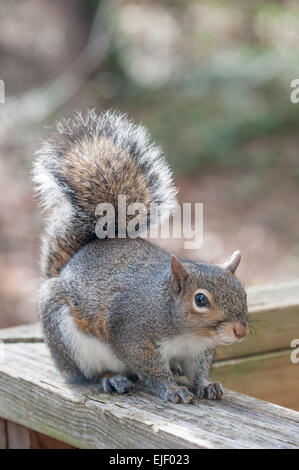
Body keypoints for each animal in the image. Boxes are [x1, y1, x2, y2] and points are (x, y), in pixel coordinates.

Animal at [32, 109, 250, 404]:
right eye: (201, 300)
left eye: (243, 292)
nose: (241, 331)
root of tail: (66, 267)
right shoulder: (133, 335)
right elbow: (151, 370)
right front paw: (173, 390)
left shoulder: (199, 350)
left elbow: (199, 369)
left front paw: (206, 385)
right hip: (68, 341)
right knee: (89, 373)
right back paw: (112, 379)